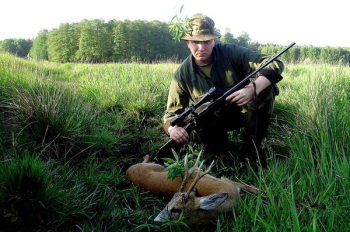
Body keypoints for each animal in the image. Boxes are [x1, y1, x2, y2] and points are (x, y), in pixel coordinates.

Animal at [126, 153, 260, 224]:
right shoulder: (228, 182)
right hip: (156, 166)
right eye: (168, 203)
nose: (156, 219)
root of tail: (128, 171)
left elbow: (256, 189)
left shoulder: (228, 182)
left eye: (176, 210)